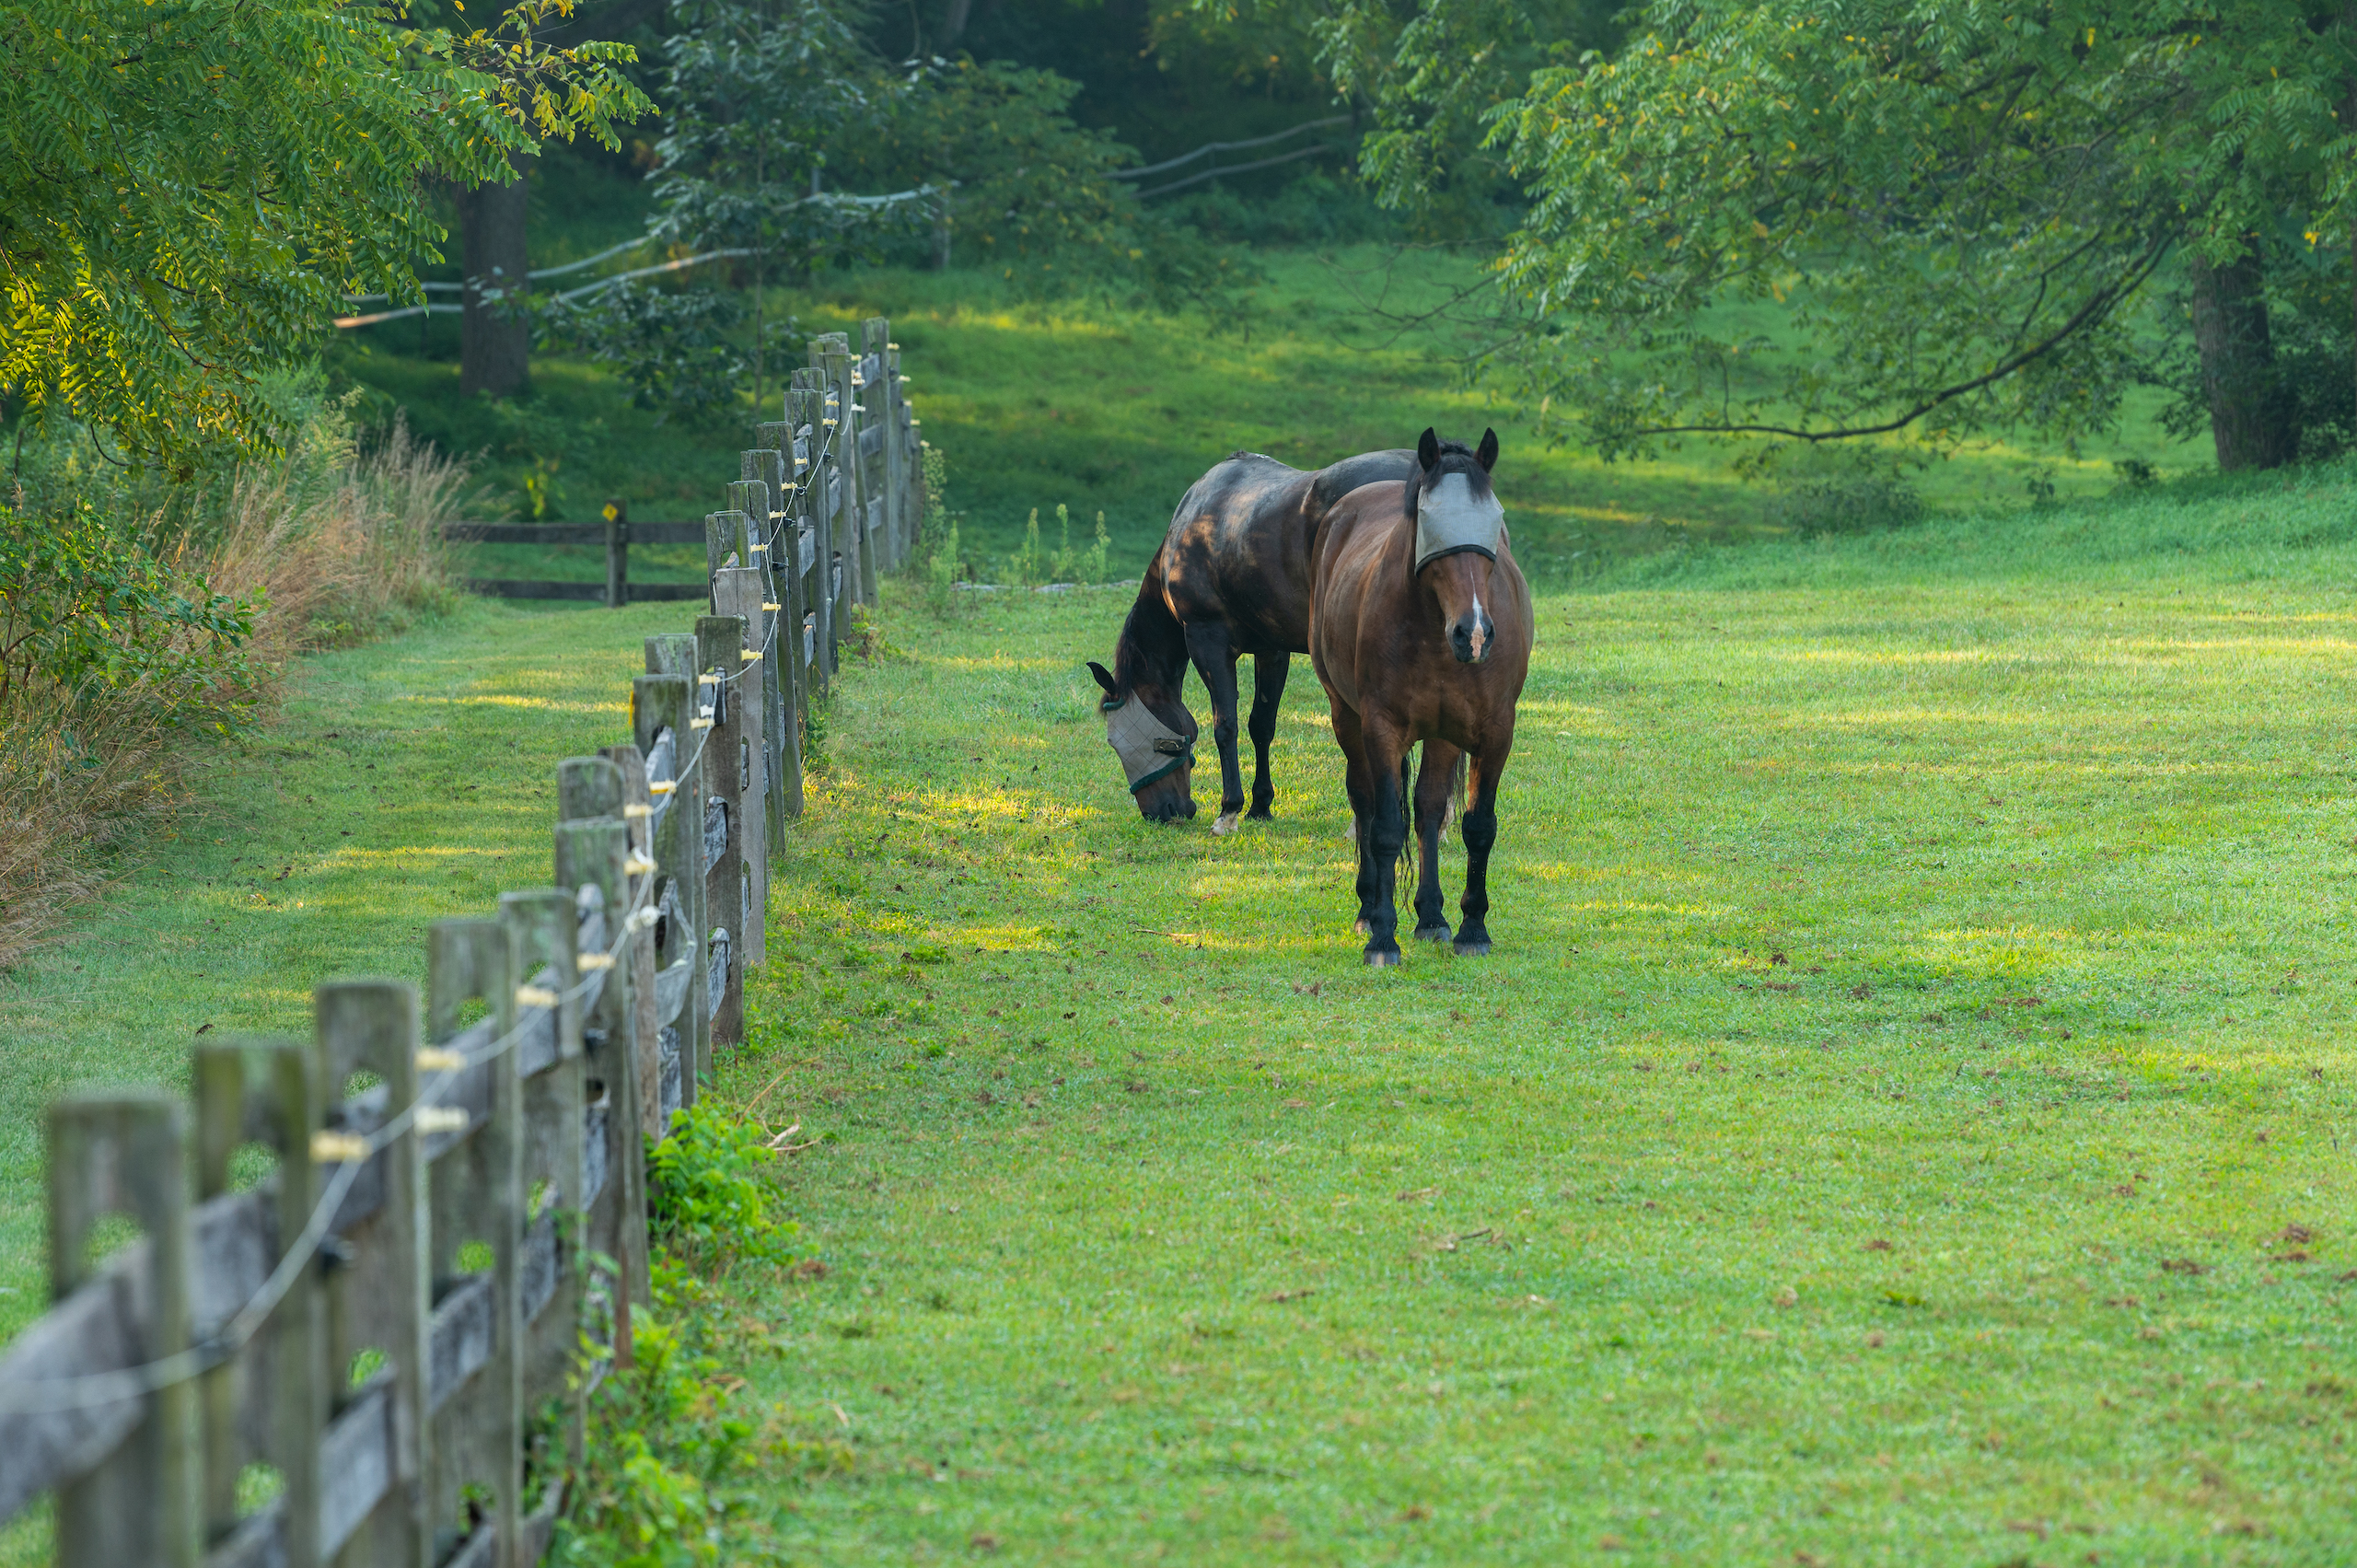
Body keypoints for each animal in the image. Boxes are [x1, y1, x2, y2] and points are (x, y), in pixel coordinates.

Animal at [1087, 448, 1417, 826]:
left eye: (1118, 742)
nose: (1160, 813)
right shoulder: (1271, 649)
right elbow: (1261, 724)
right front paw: (1261, 805)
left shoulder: (1207, 641)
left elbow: (1225, 725)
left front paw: (1230, 807)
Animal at [1308, 427, 1533, 966]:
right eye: (1429, 521)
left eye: (1494, 521)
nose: (1474, 633)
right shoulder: (1381, 729)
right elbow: (1386, 827)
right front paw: (1382, 937)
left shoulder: (1495, 732)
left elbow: (1477, 825)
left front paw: (1472, 928)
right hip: (1346, 717)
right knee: (1365, 804)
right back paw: (1369, 908)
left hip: (1443, 733)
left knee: (1429, 806)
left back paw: (1432, 916)